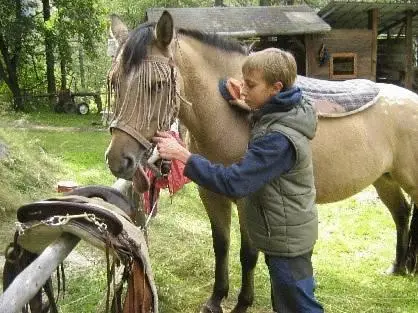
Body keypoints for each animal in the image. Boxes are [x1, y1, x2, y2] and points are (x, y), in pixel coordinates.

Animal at [105, 11, 418, 312]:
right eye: (115, 82)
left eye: (157, 85)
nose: (118, 160)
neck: (227, 116)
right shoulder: (212, 194)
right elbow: (221, 245)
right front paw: (215, 300)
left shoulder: (247, 199)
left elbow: (248, 254)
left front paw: (242, 303)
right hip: (384, 179)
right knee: (401, 213)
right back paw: (397, 267)